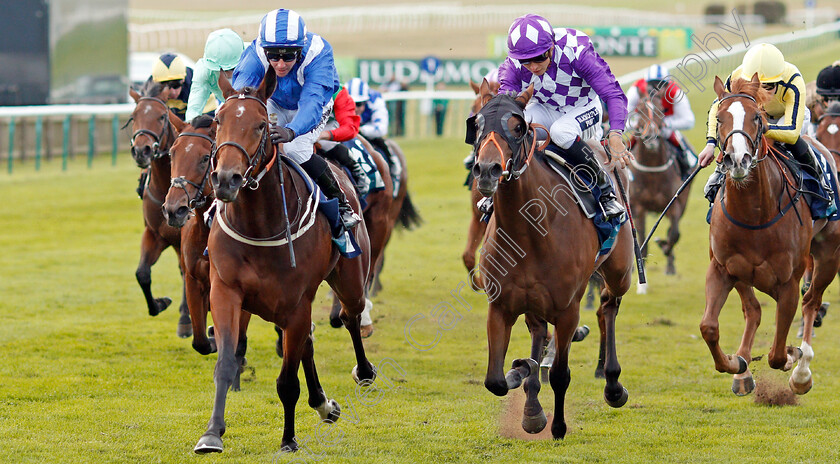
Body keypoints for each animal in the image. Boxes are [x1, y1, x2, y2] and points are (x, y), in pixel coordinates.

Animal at [127, 83, 191, 338]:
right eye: (134, 116)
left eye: (162, 116)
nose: (141, 151)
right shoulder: (154, 234)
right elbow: (142, 273)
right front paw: (160, 303)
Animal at [194, 69, 378, 454]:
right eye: (218, 121)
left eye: (261, 125)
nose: (226, 179)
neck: (260, 224)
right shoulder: (226, 292)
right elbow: (226, 363)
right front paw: (212, 433)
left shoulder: (295, 303)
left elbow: (287, 381)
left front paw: (288, 439)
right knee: (308, 340)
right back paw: (323, 404)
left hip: (350, 278)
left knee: (351, 316)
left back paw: (364, 372)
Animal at [470, 80, 632, 438]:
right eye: (477, 124)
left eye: (518, 127)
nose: (487, 170)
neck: (528, 232)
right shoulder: (500, 307)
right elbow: (495, 381)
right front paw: (523, 376)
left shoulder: (568, 309)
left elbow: (560, 375)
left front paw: (557, 426)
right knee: (540, 329)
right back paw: (532, 398)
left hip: (621, 271)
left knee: (609, 304)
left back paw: (613, 383)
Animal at [628, 88, 692, 276]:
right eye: (639, 110)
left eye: (661, 110)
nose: (651, 136)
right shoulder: (638, 207)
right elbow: (641, 237)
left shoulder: (674, 204)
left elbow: (674, 234)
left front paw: (665, 249)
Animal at [704, 75, 840, 396]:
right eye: (719, 117)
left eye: (757, 117)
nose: (737, 160)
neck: (754, 214)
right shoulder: (721, 267)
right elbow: (709, 327)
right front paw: (736, 363)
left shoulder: (789, 280)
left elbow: (777, 354)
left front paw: (793, 356)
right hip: (741, 271)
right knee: (753, 309)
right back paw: (742, 372)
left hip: (828, 256)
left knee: (811, 302)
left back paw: (802, 371)